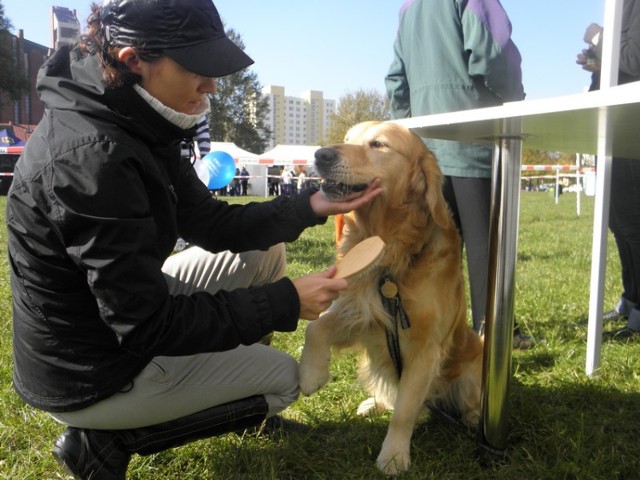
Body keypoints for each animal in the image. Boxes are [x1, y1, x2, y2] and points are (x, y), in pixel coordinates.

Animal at [300, 121, 484, 476]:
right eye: (347, 139)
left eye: (379, 145)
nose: (320, 154)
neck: (391, 247)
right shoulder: (361, 313)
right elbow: (316, 327)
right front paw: (311, 374)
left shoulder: (425, 349)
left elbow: (404, 411)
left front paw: (394, 456)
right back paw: (372, 403)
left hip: (473, 359)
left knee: (467, 398)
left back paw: (472, 420)